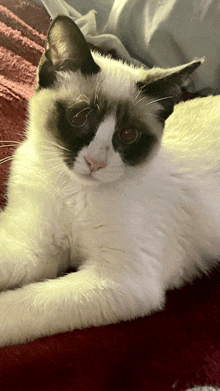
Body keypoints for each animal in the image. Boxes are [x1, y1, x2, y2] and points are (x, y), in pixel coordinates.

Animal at [0, 13, 220, 348]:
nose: (95, 163)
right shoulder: (31, 246)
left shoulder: (119, 279)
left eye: (128, 135)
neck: (74, 190)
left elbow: (27, 303)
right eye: (79, 118)